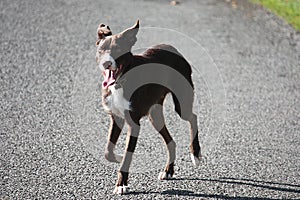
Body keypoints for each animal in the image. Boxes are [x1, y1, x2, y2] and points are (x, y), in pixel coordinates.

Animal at [95, 21, 202, 195]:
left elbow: (128, 155)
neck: (120, 81)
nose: (106, 63)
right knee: (171, 141)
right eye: (101, 50)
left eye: (118, 49)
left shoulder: (134, 124)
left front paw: (121, 184)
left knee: (193, 117)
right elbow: (108, 152)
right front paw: (119, 157)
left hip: (182, 103)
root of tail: (173, 48)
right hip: (154, 114)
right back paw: (168, 170)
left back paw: (196, 153)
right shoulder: (116, 118)